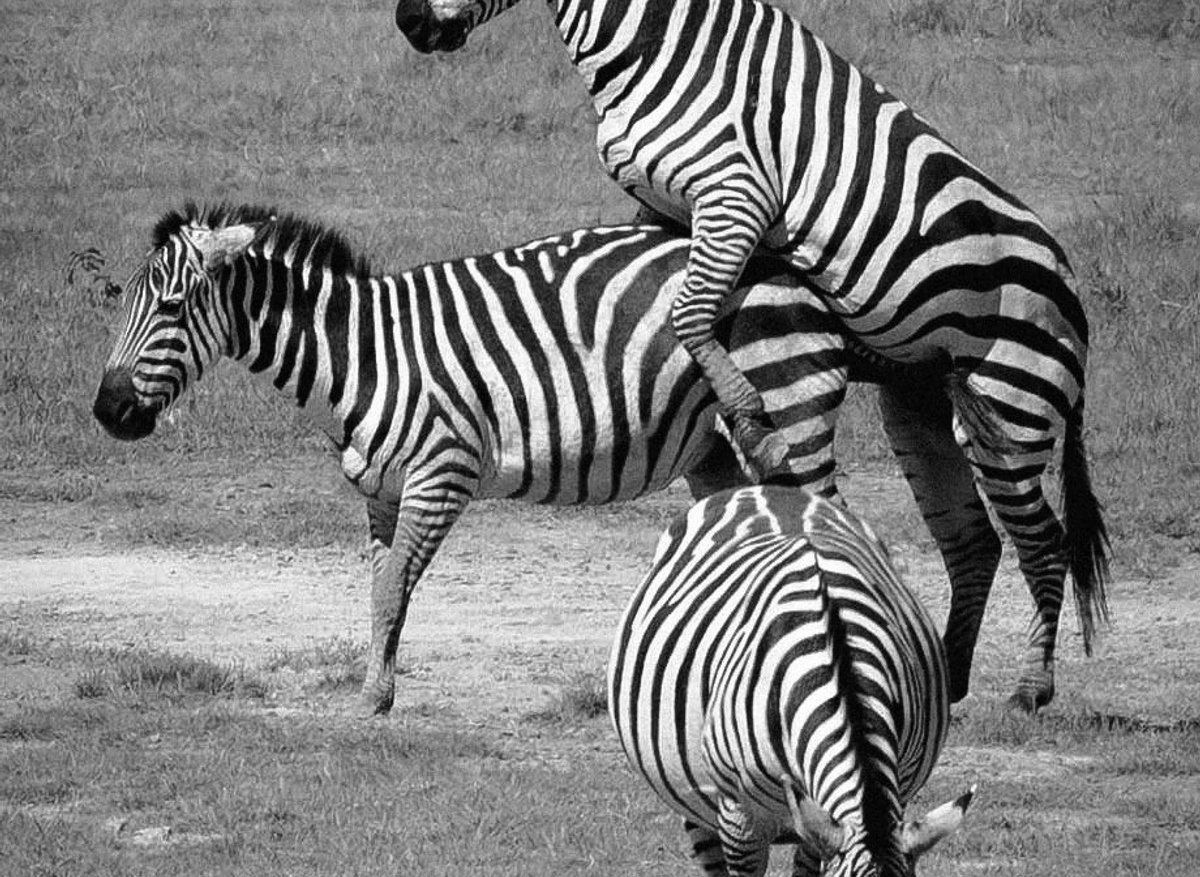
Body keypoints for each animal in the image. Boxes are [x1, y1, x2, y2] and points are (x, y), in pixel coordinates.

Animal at [92, 202, 872, 716]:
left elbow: (392, 588)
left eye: (170, 307)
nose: (106, 411)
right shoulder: (381, 492)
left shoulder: (442, 473)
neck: (363, 356)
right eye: (123, 302)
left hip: (792, 405)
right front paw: (380, 689)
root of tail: (786, 263)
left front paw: (369, 700)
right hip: (713, 445)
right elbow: (384, 592)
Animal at [393, 0, 1111, 712]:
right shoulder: (662, 208)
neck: (654, 44)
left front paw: (745, 414)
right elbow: (651, 292)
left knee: (1044, 541)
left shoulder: (734, 196)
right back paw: (951, 679)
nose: (407, 23)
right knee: (974, 539)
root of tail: (1072, 283)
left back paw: (1030, 688)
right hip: (919, 404)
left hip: (1012, 400)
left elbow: (687, 312)